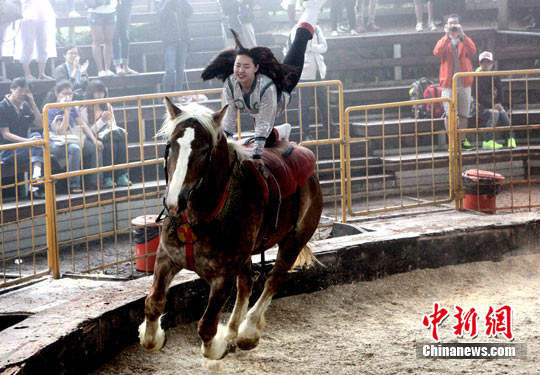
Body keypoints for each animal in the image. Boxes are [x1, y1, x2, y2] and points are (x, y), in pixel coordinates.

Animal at [139, 98, 322, 360]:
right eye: (171, 145)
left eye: (204, 150)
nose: (173, 202)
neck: (200, 218)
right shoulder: (166, 258)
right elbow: (153, 303)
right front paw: (152, 336)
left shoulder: (222, 278)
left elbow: (206, 326)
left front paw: (217, 347)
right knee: (247, 282)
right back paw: (233, 333)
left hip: (294, 239)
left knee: (273, 281)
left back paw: (247, 333)